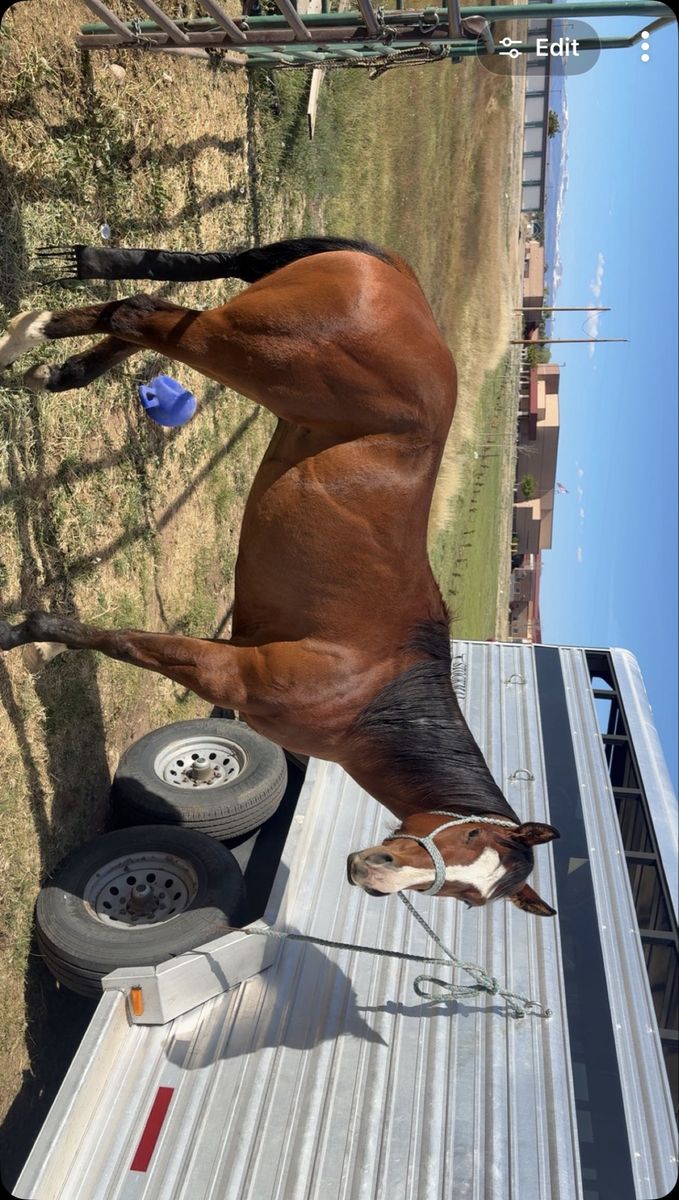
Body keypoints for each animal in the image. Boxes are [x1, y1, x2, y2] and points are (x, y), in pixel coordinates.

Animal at [0, 235, 558, 912]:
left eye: (468, 897)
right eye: (468, 833)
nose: (371, 871)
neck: (369, 696)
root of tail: (396, 278)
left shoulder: (230, 649)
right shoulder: (226, 672)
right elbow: (122, 641)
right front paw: (27, 635)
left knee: (150, 309)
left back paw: (46, 362)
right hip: (240, 350)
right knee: (139, 312)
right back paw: (28, 335)